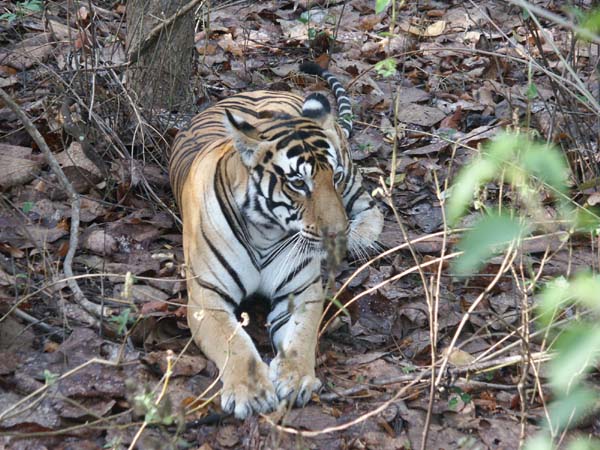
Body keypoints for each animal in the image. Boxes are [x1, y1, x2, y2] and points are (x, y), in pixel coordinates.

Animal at [170, 61, 384, 420]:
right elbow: (234, 341)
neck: (265, 232)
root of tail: (263, 90)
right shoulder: (206, 297)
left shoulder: (302, 289)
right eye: (298, 183)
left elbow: (302, 336)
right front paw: (252, 392)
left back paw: (359, 239)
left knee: (370, 204)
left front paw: (295, 378)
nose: (336, 231)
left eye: (334, 177)